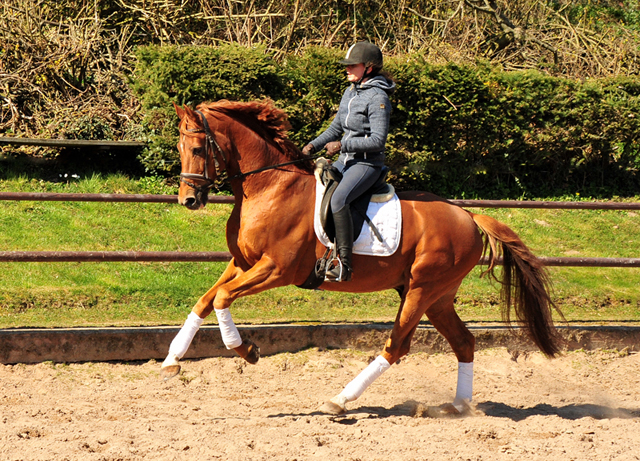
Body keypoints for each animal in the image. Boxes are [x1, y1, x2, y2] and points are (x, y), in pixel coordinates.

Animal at [162, 98, 564, 414]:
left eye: (196, 150)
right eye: (180, 149)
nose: (188, 200)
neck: (268, 186)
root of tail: (467, 215)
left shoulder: (275, 269)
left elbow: (222, 298)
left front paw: (245, 350)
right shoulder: (243, 263)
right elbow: (206, 300)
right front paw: (171, 360)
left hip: (422, 289)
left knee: (397, 346)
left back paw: (340, 400)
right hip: (436, 296)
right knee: (463, 342)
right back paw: (460, 406)